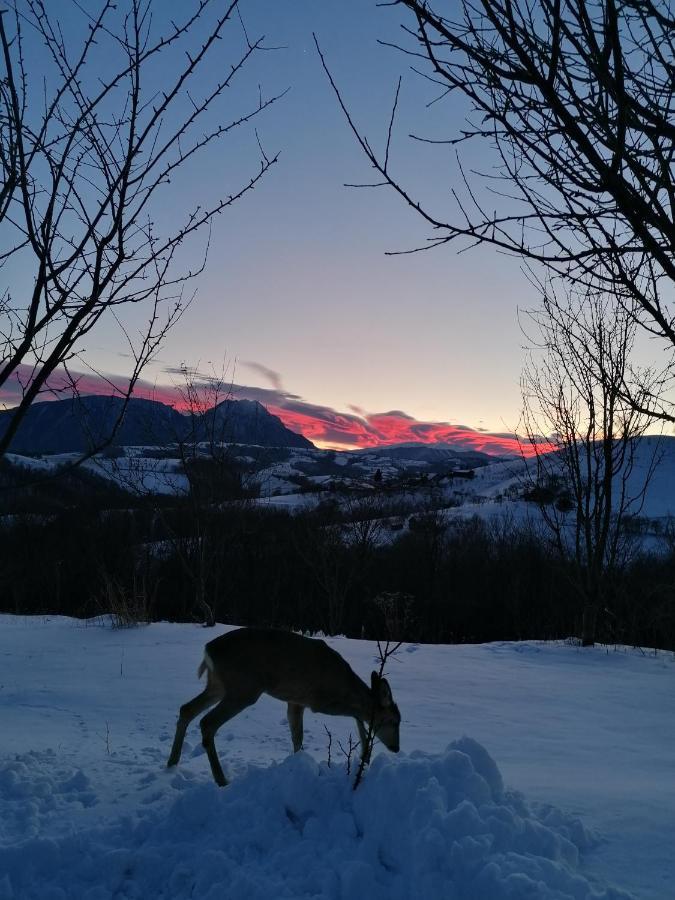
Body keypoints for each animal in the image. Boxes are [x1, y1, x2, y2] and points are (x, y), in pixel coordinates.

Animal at [168, 624, 402, 788]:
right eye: (393, 721)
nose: (396, 748)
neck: (343, 684)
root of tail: (208, 650)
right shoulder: (319, 701)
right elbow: (357, 714)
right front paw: (365, 754)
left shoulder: (296, 701)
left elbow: (297, 736)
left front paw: (298, 764)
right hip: (243, 688)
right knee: (207, 722)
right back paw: (221, 780)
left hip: (218, 685)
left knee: (186, 709)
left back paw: (172, 763)